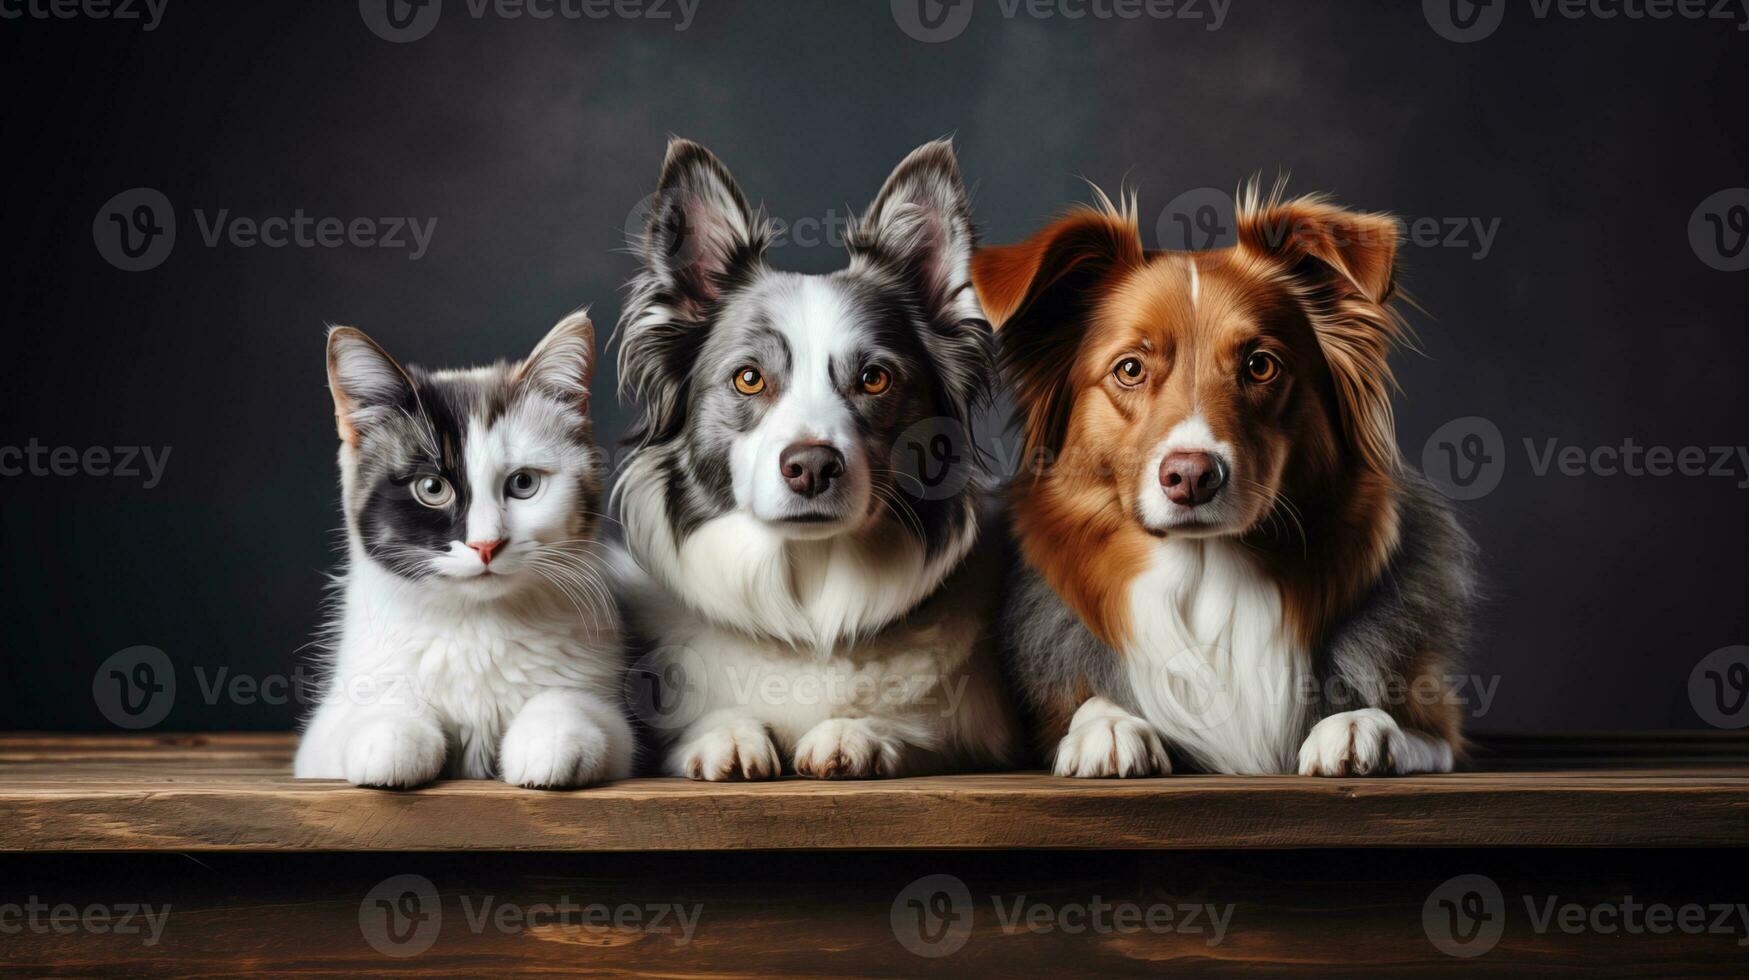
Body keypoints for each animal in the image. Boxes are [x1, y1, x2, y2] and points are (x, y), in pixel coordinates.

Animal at [295, 313, 636, 787]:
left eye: (523, 483)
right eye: (432, 488)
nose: (486, 544)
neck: (477, 622)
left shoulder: (612, 716)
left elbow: (574, 706)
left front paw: (550, 739)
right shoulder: (319, 743)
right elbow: (373, 712)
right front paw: (390, 738)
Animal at [619, 138, 1021, 780]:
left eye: (875, 378)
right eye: (750, 378)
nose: (811, 467)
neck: (806, 593)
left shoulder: (984, 734)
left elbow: (930, 733)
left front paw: (858, 732)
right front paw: (724, 734)